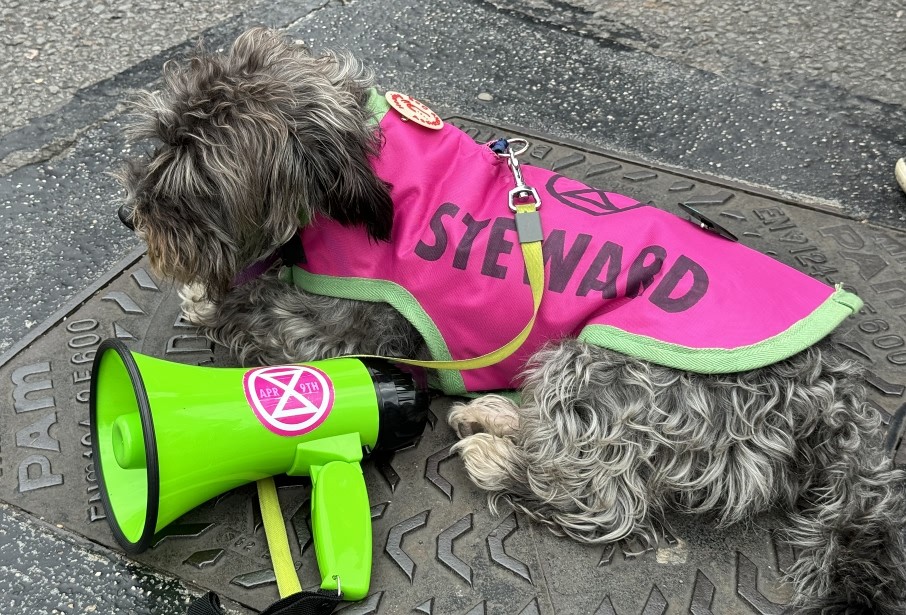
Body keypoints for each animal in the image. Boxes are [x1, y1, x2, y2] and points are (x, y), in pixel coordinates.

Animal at [116, 28, 904, 615]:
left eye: (196, 181)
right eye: (154, 140)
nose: (127, 217)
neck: (366, 172)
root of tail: (836, 396)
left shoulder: (347, 331)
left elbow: (262, 313)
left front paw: (210, 296)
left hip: (606, 362)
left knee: (605, 496)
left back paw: (498, 455)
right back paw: (494, 412)